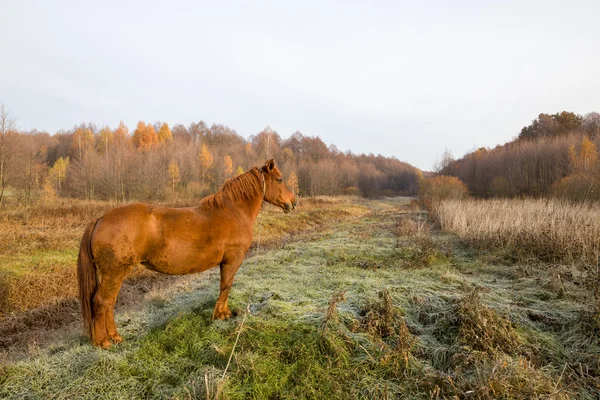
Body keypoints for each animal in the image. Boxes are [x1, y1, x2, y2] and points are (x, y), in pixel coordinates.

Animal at [77, 159, 298, 346]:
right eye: (279, 179)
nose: (294, 202)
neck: (234, 212)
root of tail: (100, 219)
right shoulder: (232, 261)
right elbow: (226, 286)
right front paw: (221, 315)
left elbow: (225, 286)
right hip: (114, 272)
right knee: (102, 302)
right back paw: (103, 342)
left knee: (109, 303)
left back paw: (115, 336)